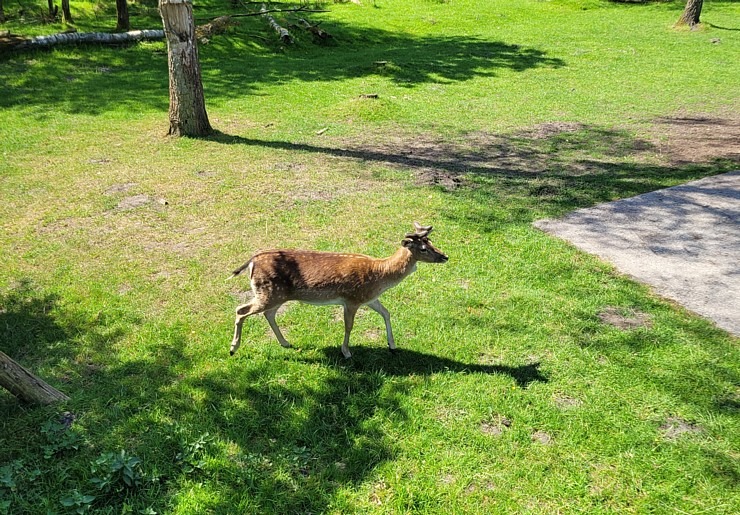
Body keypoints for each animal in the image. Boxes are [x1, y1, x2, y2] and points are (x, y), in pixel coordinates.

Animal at [228, 222, 448, 358]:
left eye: (431, 242)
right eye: (423, 248)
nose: (445, 256)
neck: (380, 275)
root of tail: (251, 262)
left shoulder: (369, 298)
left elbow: (386, 313)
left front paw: (392, 346)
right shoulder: (352, 299)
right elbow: (349, 326)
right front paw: (346, 352)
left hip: (276, 294)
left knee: (268, 313)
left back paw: (286, 343)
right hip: (269, 292)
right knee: (241, 310)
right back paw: (233, 348)